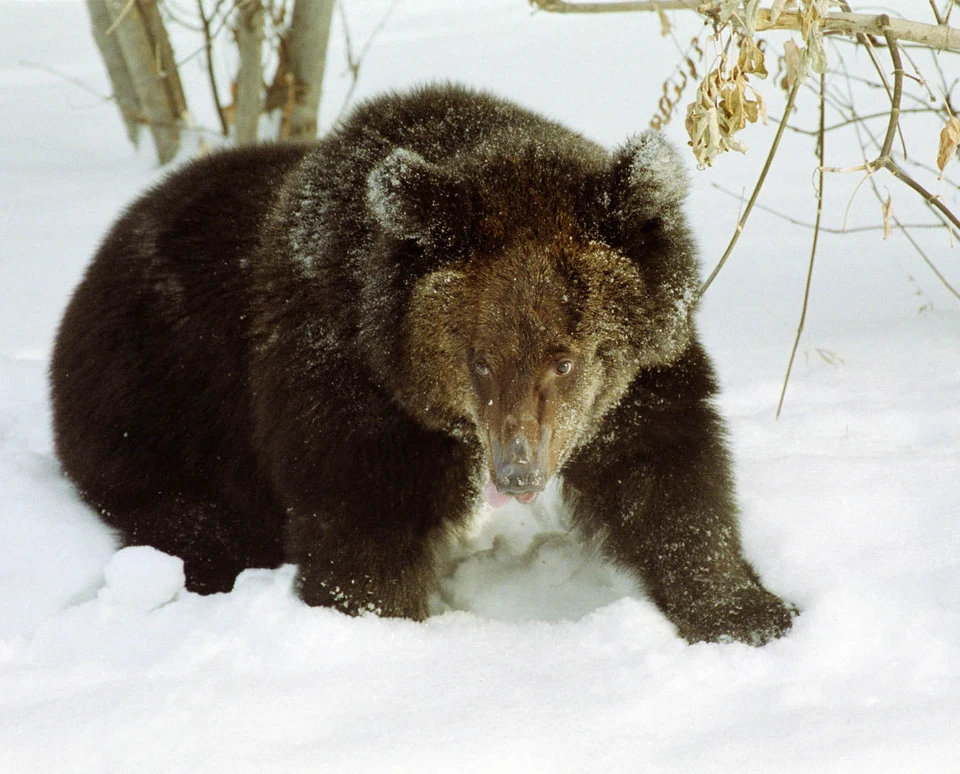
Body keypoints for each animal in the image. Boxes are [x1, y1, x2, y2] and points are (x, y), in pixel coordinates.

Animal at [50, 85, 796, 644]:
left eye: (564, 358)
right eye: (481, 361)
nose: (518, 473)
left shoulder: (639, 384)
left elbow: (669, 483)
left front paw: (746, 612)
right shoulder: (351, 392)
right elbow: (365, 531)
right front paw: (381, 623)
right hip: (154, 413)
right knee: (192, 521)